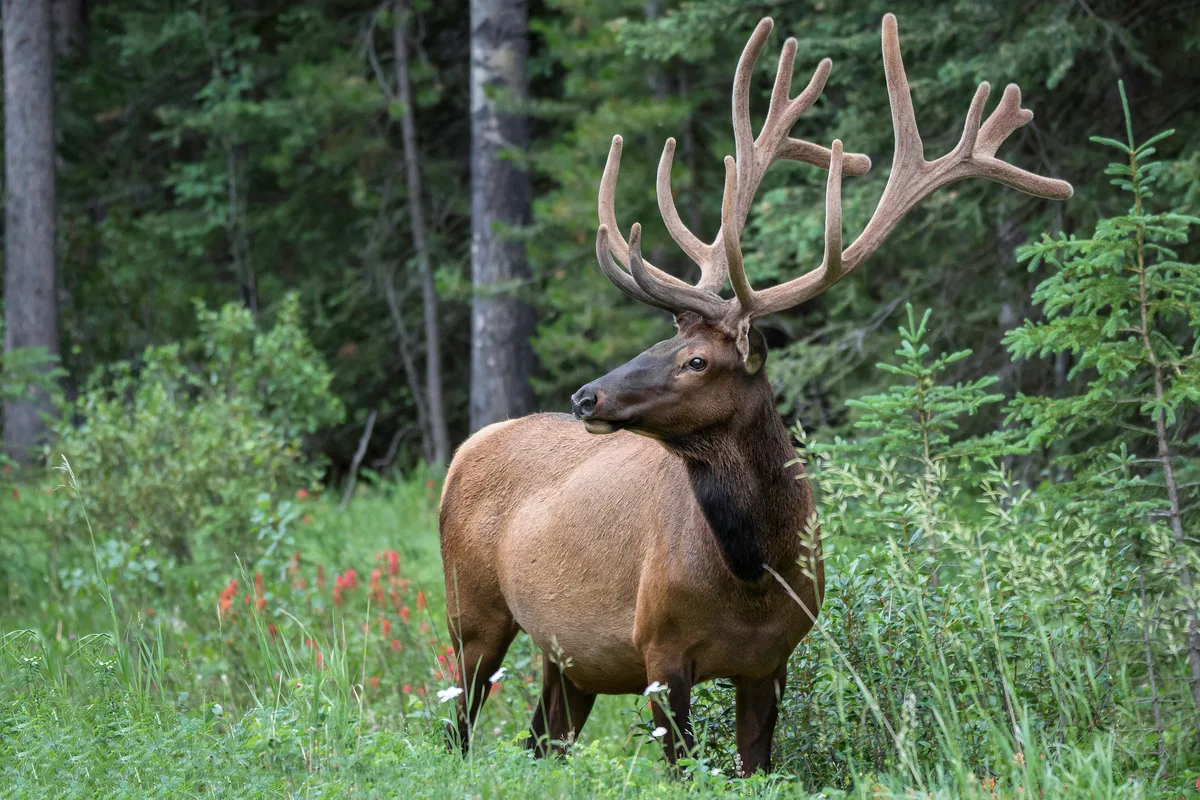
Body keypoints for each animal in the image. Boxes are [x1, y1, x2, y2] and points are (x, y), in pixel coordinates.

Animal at [439, 13, 1072, 776]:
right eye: (662, 345)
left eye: (696, 360)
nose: (587, 397)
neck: (751, 577)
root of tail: (466, 448)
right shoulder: (658, 650)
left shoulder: (775, 659)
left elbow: (755, 763)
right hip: (472, 612)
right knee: (456, 729)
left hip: (567, 658)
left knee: (541, 742)